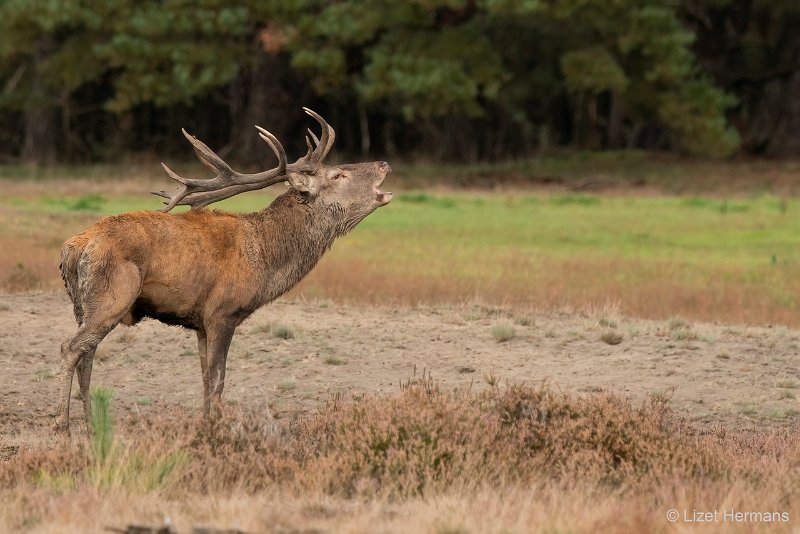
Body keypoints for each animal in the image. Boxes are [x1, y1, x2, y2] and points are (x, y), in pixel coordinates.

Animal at [54, 109, 392, 440]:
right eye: (338, 175)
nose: (383, 163)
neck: (265, 258)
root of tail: (72, 249)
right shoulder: (222, 312)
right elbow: (218, 379)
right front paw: (216, 432)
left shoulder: (200, 323)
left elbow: (205, 377)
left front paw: (205, 425)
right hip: (112, 297)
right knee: (70, 348)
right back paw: (63, 425)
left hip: (82, 305)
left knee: (87, 355)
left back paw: (92, 426)